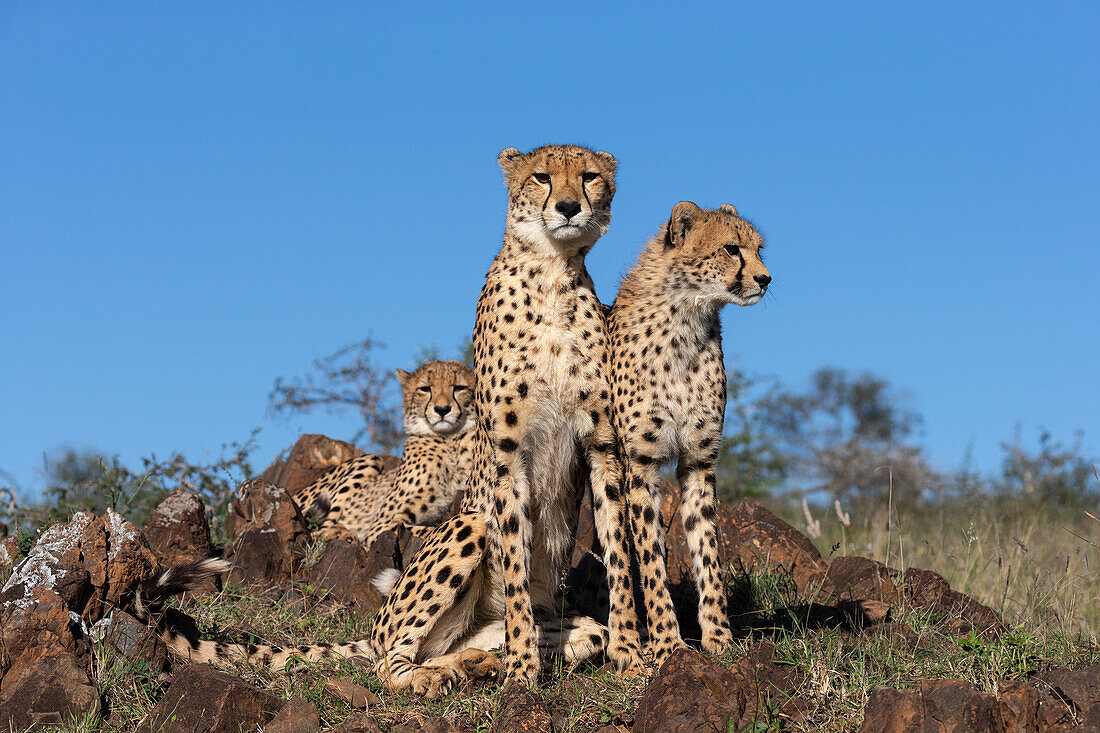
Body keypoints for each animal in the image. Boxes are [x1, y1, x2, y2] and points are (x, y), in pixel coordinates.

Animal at [301, 358, 477, 548]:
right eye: (425, 388)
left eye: (459, 388)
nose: (442, 409)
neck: (449, 440)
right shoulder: (380, 525)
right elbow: (428, 529)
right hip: (371, 459)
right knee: (318, 531)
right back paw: (342, 534)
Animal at [611, 200, 774, 660]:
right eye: (732, 248)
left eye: (759, 249)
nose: (765, 278)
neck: (687, 318)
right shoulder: (640, 463)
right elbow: (650, 558)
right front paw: (668, 644)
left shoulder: (700, 462)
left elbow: (707, 550)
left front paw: (719, 638)